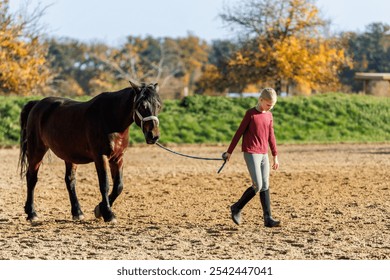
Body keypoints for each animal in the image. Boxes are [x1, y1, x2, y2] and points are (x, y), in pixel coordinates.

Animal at [17, 81, 161, 223]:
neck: (110, 118)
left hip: (69, 156)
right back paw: (32, 213)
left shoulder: (118, 158)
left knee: (70, 181)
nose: (153, 136)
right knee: (32, 178)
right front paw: (108, 214)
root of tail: (37, 104)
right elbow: (104, 184)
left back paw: (77, 213)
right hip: (37, 150)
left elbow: (118, 186)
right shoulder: (100, 156)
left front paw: (100, 209)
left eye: (158, 105)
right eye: (141, 105)